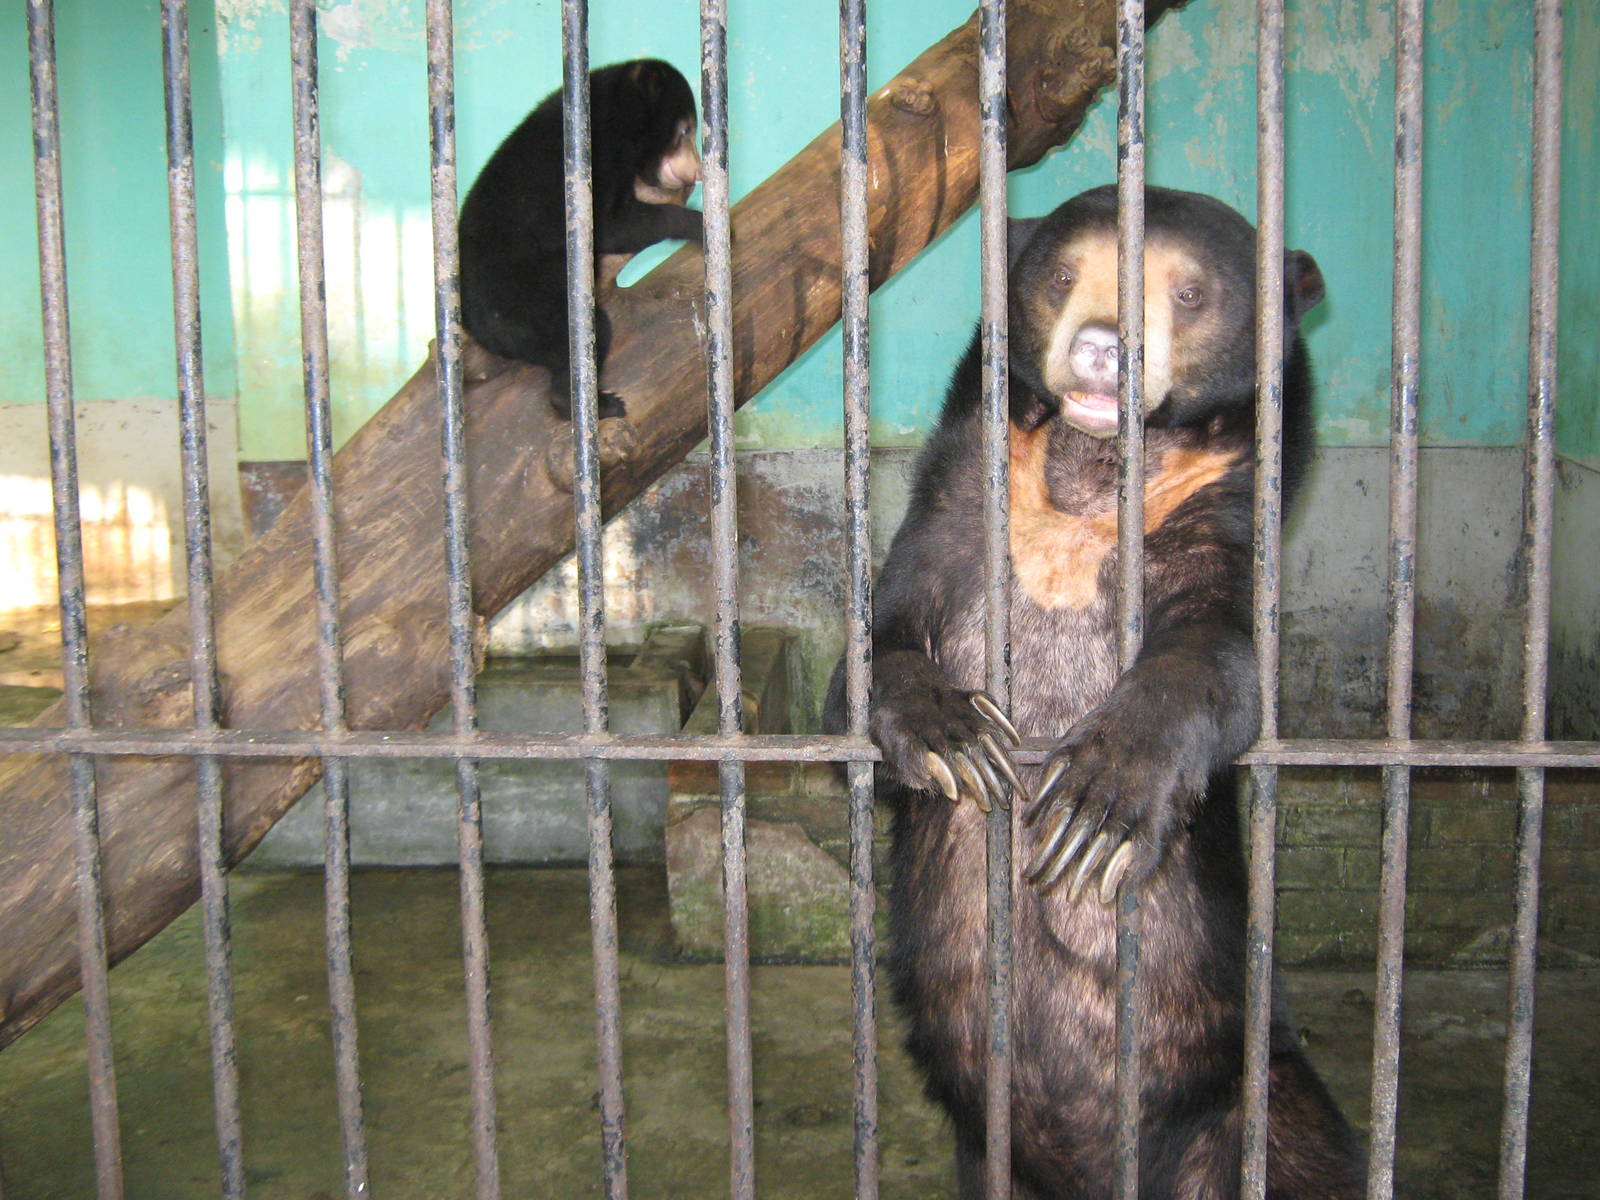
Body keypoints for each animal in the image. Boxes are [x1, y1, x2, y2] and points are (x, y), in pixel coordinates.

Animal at [823, 185, 1364, 1199]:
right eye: (1064, 275)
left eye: (1188, 293)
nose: (1107, 346)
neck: (1089, 479)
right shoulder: (961, 507)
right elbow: (868, 661)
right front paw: (954, 738)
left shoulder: (1216, 522)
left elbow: (1218, 665)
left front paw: (1096, 808)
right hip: (981, 1149)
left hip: (1246, 1087)